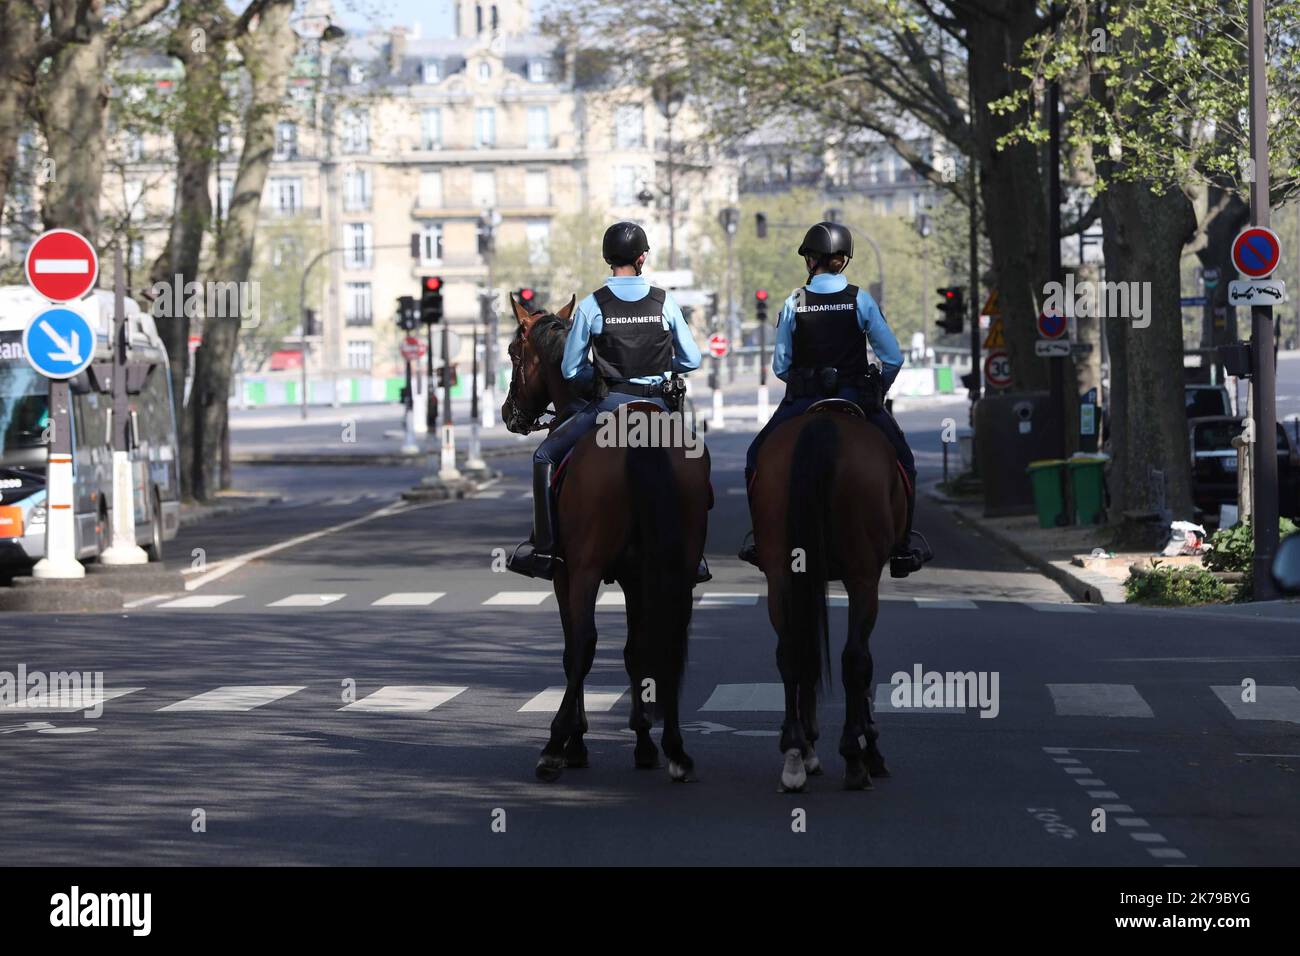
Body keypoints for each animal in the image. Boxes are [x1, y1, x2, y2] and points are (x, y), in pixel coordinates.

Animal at [499, 295, 712, 780]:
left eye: (513, 353)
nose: (508, 413)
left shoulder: (567, 575)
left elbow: (574, 650)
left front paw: (575, 741)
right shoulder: (636, 578)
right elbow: (635, 652)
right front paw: (643, 742)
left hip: (585, 570)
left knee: (584, 646)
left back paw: (555, 746)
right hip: (676, 570)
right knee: (668, 642)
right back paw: (675, 749)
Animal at [754, 411, 904, 790]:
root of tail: (821, 424)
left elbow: (807, 656)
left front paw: (808, 748)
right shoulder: (865, 579)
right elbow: (862, 667)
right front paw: (870, 749)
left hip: (781, 574)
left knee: (790, 653)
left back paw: (794, 753)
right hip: (863, 576)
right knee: (854, 658)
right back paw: (854, 757)